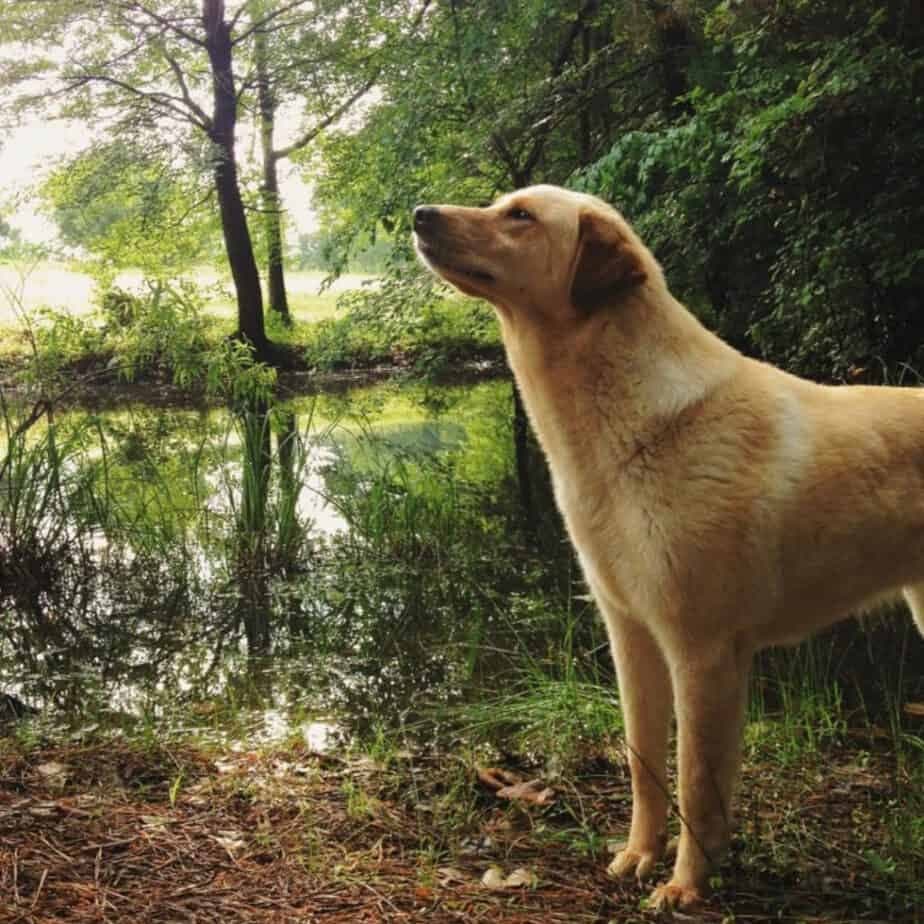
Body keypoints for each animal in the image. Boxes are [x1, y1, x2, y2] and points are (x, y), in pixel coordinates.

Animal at [414, 182, 924, 908]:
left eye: (521, 216)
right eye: (500, 204)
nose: (419, 215)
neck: (630, 430)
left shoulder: (702, 652)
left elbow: (698, 783)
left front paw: (685, 887)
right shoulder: (631, 637)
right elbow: (645, 764)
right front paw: (638, 857)